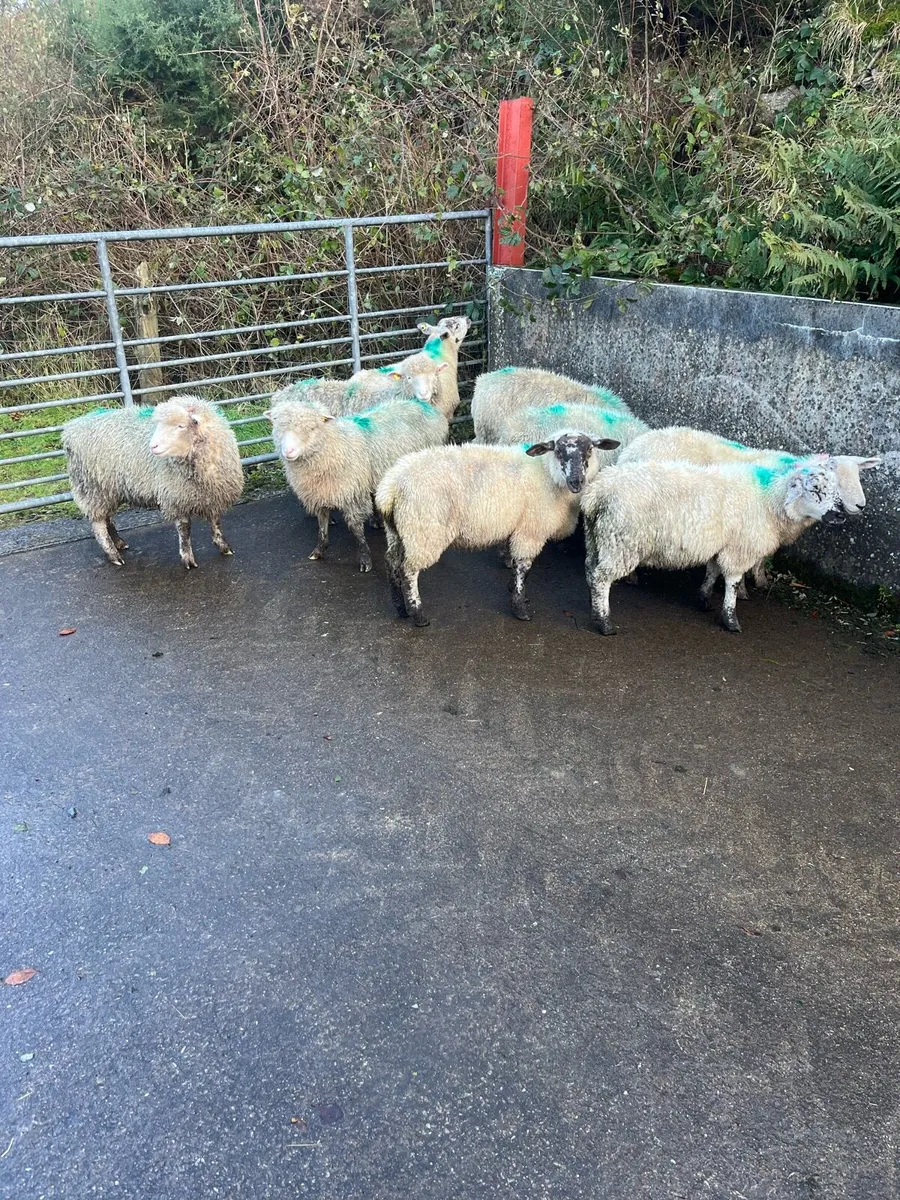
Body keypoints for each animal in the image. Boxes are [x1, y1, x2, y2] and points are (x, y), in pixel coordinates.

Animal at [62, 396, 244, 569]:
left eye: (180, 426)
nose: (153, 446)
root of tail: (71, 429)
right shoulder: (175, 496)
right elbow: (184, 529)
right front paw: (188, 558)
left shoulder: (214, 494)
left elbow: (216, 522)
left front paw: (224, 547)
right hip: (93, 487)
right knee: (99, 525)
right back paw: (114, 555)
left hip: (107, 489)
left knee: (107, 517)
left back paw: (119, 543)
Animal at [267, 397, 449, 571]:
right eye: (278, 426)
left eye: (312, 428)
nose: (288, 451)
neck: (333, 446)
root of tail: (421, 404)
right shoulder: (320, 493)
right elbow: (322, 524)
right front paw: (319, 550)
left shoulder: (352, 495)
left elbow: (356, 529)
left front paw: (365, 559)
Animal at [375, 432, 620, 627]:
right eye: (558, 451)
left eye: (590, 449)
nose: (576, 481)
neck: (546, 474)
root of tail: (391, 486)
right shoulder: (530, 530)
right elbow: (523, 566)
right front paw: (520, 608)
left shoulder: (518, 527)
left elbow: (515, 563)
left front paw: (513, 590)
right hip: (423, 531)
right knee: (408, 570)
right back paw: (417, 614)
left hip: (399, 531)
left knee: (391, 563)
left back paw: (400, 608)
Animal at [581, 458, 848, 636]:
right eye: (815, 489)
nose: (841, 514)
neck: (769, 501)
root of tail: (597, 493)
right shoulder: (740, 549)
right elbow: (733, 582)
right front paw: (730, 619)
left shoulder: (721, 544)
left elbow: (712, 571)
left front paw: (703, 599)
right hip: (621, 541)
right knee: (602, 578)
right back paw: (604, 622)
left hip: (597, 536)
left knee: (590, 570)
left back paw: (594, 607)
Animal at [617, 426, 881, 593]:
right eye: (834, 478)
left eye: (858, 474)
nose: (861, 505)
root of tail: (635, 446)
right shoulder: (751, 525)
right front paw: (744, 588)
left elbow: (761, 557)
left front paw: (760, 581)